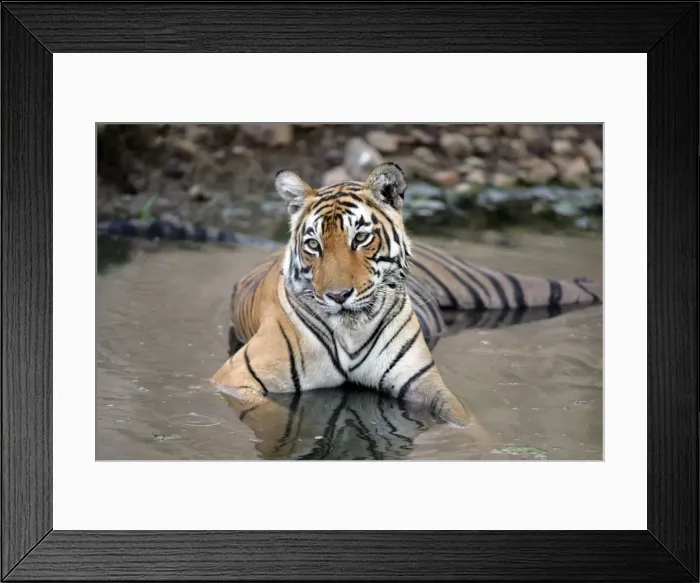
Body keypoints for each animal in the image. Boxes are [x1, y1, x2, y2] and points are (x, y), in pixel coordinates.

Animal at [209, 163, 602, 431]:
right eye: (313, 245)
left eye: (360, 238)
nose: (338, 295)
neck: (351, 332)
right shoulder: (234, 380)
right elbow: (275, 414)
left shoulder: (423, 383)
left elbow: (464, 421)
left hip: (495, 289)